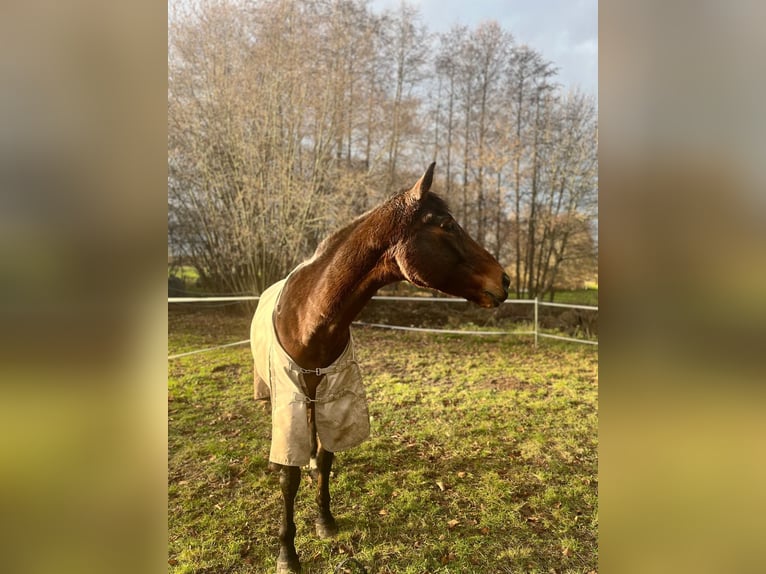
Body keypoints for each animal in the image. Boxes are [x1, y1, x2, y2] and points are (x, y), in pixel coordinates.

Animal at [250, 163, 510, 573]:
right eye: (447, 224)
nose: (504, 279)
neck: (310, 320)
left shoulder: (335, 397)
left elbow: (327, 457)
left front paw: (324, 521)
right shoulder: (289, 397)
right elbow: (288, 477)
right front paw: (287, 554)